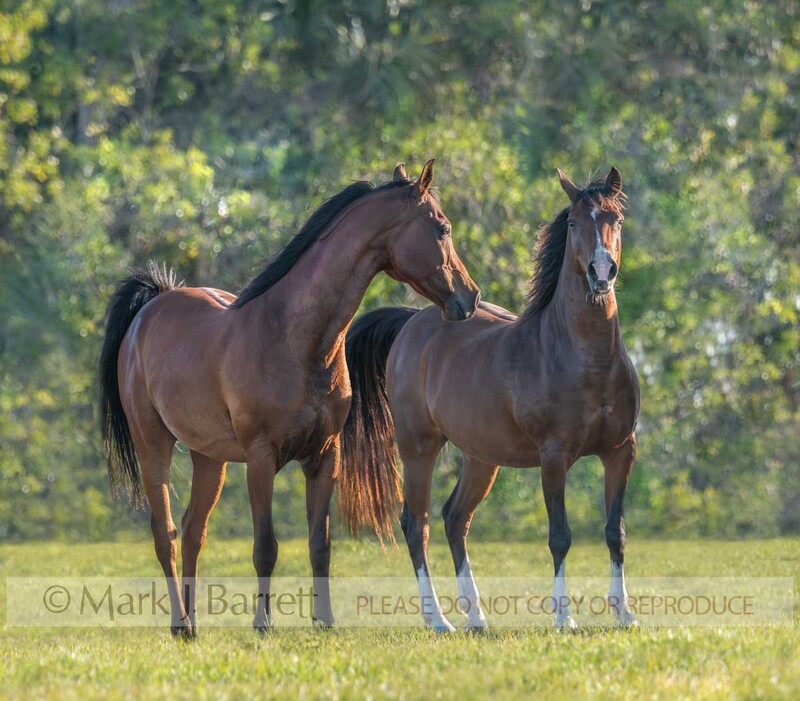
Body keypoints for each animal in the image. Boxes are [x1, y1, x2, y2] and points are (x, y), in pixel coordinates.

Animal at [98, 160, 481, 637]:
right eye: (442, 228)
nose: (470, 297)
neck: (295, 339)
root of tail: (152, 307)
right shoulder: (261, 459)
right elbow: (266, 545)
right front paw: (263, 624)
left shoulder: (324, 457)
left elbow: (321, 544)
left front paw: (325, 620)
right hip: (154, 445)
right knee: (164, 532)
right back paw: (180, 623)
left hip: (210, 458)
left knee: (191, 531)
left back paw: (194, 625)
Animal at [342, 167, 639, 631]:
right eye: (575, 224)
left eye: (617, 221)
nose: (602, 272)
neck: (586, 360)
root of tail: (412, 321)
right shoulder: (554, 457)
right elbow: (560, 536)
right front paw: (564, 618)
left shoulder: (620, 452)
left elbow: (615, 531)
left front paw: (624, 613)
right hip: (418, 448)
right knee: (416, 523)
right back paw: (437, 619)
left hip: (482, 458)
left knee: (455, 518)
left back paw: (476, 617)